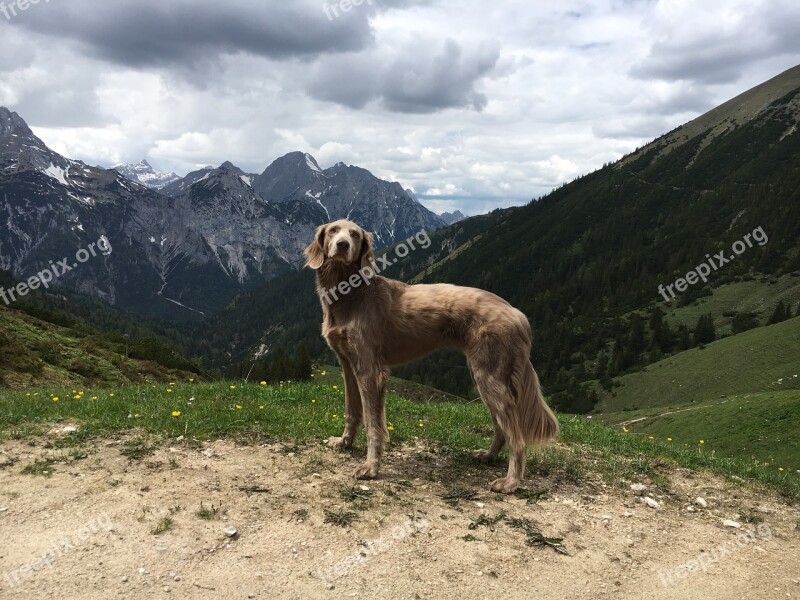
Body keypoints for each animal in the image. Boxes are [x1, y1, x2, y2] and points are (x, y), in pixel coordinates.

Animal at [304, 220, 560, 492]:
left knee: (516, 436)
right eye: (333, 230)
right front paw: (345, 442)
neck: (350, 295)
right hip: (485, 378)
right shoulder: (348, 365)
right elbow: (352, 411)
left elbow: (374, 425)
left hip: (490, 377)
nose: (343, 245)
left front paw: (371, 468)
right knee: (502, 428)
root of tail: (517, 313)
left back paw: (511, 481)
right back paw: (489, 457)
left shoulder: (370, 370)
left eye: (354, 234)